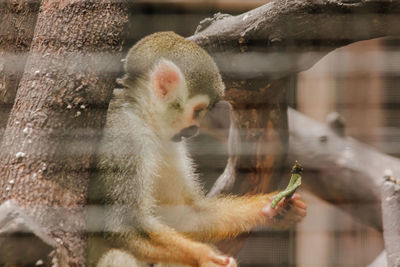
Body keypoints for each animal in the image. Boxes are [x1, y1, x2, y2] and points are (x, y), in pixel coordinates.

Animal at [89, 31, 308, 267]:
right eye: (198, 111)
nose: (194, 130)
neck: (144, 116)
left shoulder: (169, 141)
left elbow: (184, 216)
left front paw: (270, 208)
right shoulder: (125, 137)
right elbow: (122, 225)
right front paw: (205, 255)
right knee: (118, 255)